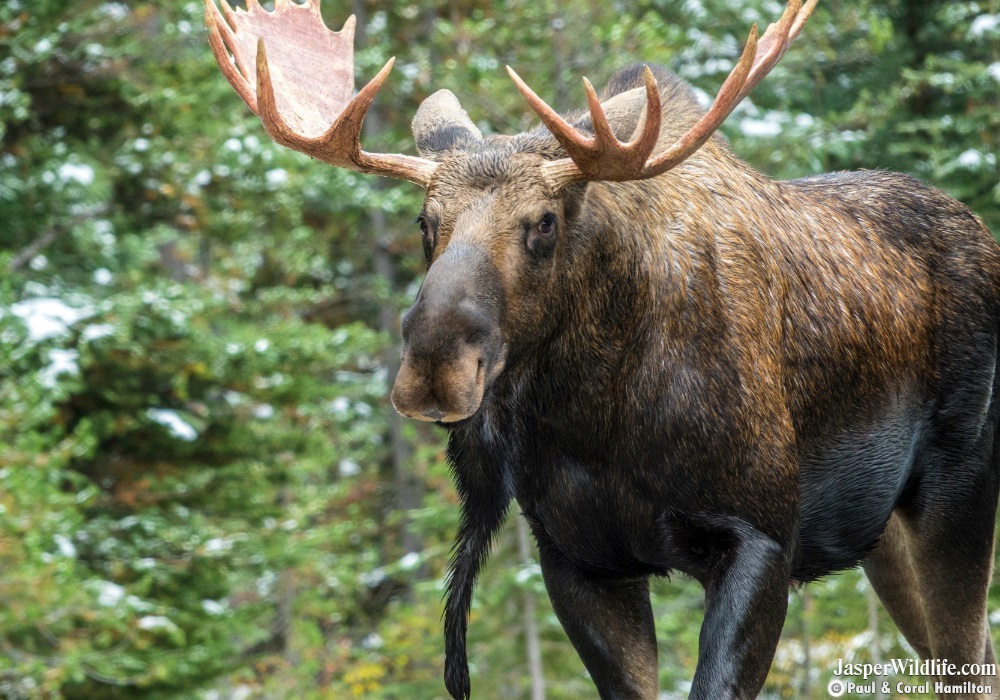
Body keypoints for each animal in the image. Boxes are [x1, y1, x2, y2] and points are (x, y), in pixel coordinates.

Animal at [203, 0, 1000, 696]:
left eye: (545, 221)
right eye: (425, 222)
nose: (433, 368)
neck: (597, 415)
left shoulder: (761, 539)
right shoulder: (577, 559)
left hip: (959, 487)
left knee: (969, 660)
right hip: (883, 534)